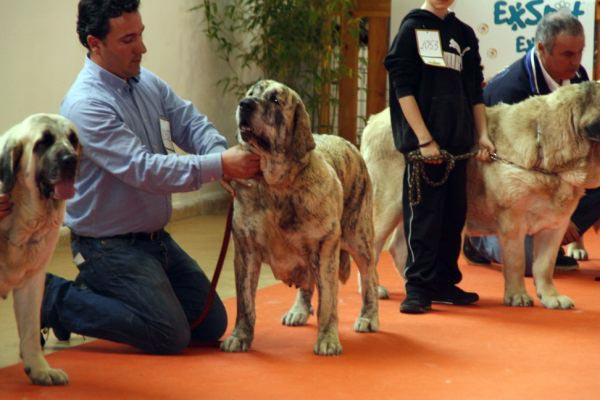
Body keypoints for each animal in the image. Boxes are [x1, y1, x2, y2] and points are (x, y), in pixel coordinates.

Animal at [0, 112, 79, 384]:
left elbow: (30, 329)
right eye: (43, 142)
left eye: (73, 139)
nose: (71, 159)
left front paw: (39, 369)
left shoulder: (32, 281)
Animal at [220, 79, 380, 354]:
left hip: (359, 239)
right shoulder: (245, 251)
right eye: (250, 93)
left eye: (275, 100)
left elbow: (328, 303)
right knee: (307, 283)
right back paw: (299, 310)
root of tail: (349, 142)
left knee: (370, 276)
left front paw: (327, 340)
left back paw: (369, 317)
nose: (245, 104)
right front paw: (240, 336)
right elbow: (245, 302)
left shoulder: (325, 249)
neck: (275, 185)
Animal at [360, 81, 600, 310]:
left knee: (400, 246)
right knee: (372, 249)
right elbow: (517, 261)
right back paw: (376, 289)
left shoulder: (555, 226)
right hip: (387, 206)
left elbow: (544, 265)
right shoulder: (513, 224)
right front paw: (518, 296)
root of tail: (374, 120)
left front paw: (551, 298)